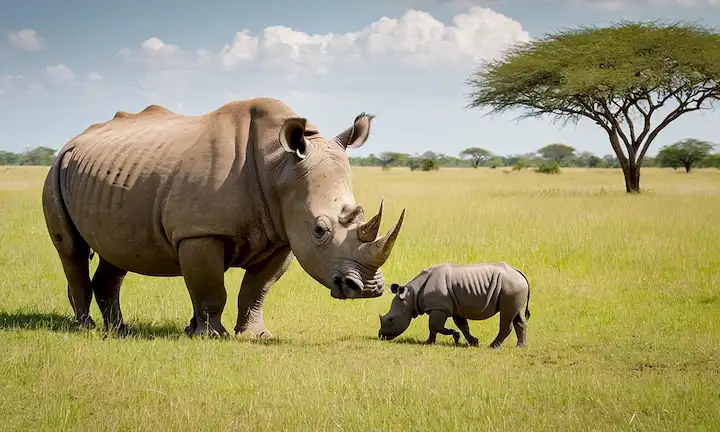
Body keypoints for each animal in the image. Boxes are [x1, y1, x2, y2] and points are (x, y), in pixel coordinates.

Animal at [41, 97, 406, 339]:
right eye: (319, 229)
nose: (367, 288)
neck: (279, 167)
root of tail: (74, 140)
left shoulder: (283, 236)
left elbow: (257, 290)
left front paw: (255, 336)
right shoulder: (200, 232)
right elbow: (211, 287)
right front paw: (210, 335)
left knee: (115, 253)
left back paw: (120, 330)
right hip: (56, 169)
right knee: (71, 249)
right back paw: (86, 329)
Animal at [378, 263, 531, 348]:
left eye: (390, 320)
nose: (381, 335)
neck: (411, 296)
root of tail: (519, 273)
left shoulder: (439, 308)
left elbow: (434, 326)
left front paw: (432, 341)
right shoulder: (455, 307)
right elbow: (463, 325)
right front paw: (473, 342)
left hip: (511, 286)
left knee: (506, 316)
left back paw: (493, 347)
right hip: (514, 287)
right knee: (517, 315)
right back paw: (521, 347)